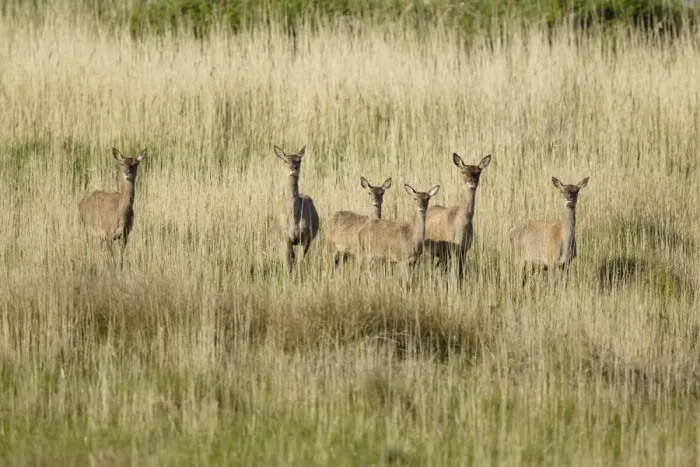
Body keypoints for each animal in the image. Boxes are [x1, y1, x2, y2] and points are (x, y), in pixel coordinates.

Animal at [275, 144, 320, 274]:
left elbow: (300, 260)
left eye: (299, 160)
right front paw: (289, 275)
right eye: (285, 160)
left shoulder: (306, 236)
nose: (293, 169)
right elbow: (289, 258)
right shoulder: (286, 237)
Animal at [424, 153, 491, 282]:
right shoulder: (448, 249)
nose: (472, 181)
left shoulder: (464, 250)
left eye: (478, 171)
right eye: (463, 172)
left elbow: (460, 274)